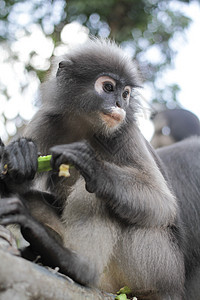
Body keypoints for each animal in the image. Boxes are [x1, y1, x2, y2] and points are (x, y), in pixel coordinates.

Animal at [0, 39, 200, 300]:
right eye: (108, 87)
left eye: (125, 94)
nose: (120, 104)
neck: (84, 124)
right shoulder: (46, 119)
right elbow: (16, 181)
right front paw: (19, 154)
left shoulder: (125, 131)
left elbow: (162, 203)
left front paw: (92, 166)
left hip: (153, 263)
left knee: (97, 194)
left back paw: (78, 265)